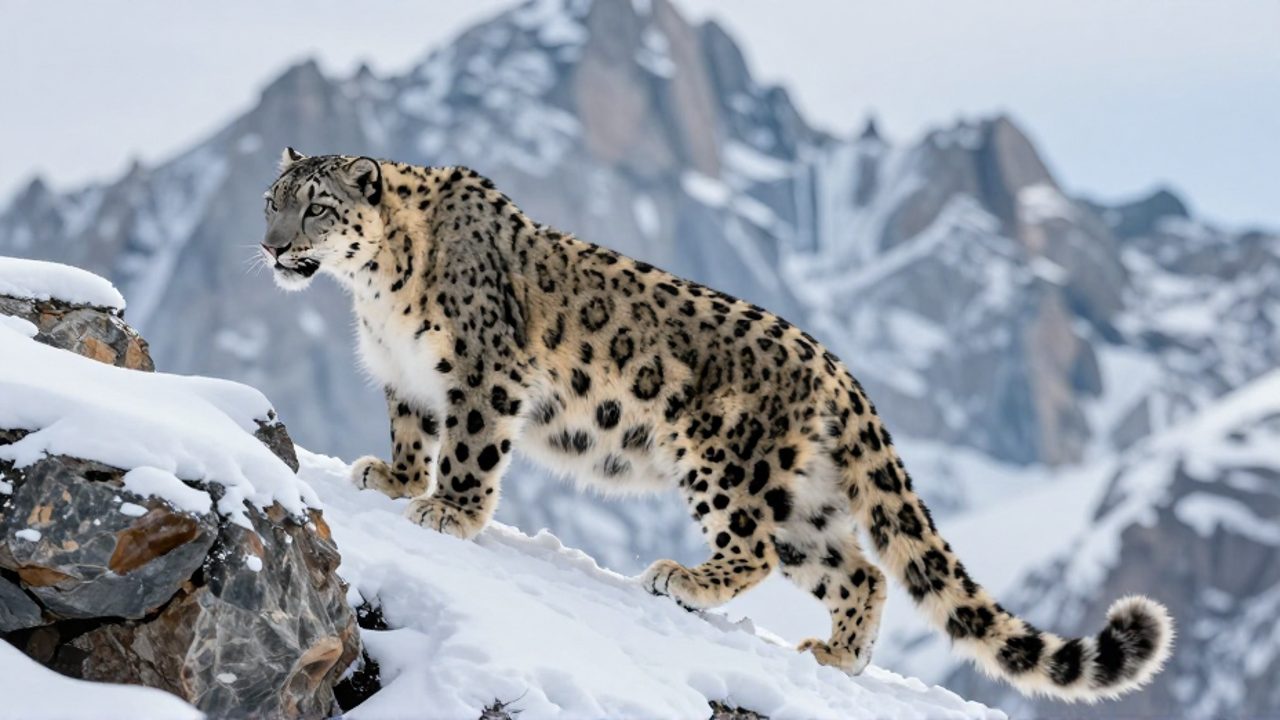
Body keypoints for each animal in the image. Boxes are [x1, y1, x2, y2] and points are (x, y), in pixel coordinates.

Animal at [261, 148, 1172, 702]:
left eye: (317, 208)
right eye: (271, 201)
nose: (269, 248)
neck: (374, 294)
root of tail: (838, 369)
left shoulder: (486, 373)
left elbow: (471, 452)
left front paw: (446, 511)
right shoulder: (407, 381)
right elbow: (414, 436)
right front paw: (392, 477)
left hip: (725, 459)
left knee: (757, 547)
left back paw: (684, 579)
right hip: (806, 504)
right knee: (860, 572)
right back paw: (836, 655)